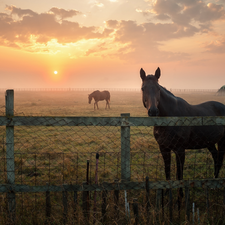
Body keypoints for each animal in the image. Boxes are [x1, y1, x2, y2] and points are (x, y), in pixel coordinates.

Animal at [140, 67, 225, 199]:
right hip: (210, 143)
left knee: (219, 160)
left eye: (158, 88)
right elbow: (167, 171)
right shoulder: (164, 148)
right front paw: (167, 194)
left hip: (222, 141)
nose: (153, 111)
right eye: (143, 88)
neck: (170, 117)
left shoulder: (180, 150)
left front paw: (180, 196)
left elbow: (179, 174)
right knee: (216, 158)